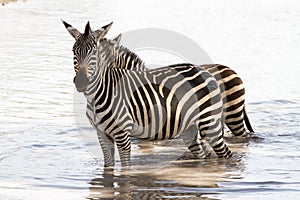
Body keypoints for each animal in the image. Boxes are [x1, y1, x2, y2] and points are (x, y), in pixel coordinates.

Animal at [62, 21, 232, 166]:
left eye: (94, 54)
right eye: (74, 52)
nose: (81, 82)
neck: (98, 95)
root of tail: (206, 71)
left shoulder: (123, 134)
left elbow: (126, 169)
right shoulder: (102, 134)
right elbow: (108, 168)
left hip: (209, 123)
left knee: (226, 154)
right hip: (189, 129)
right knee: (203, 155)